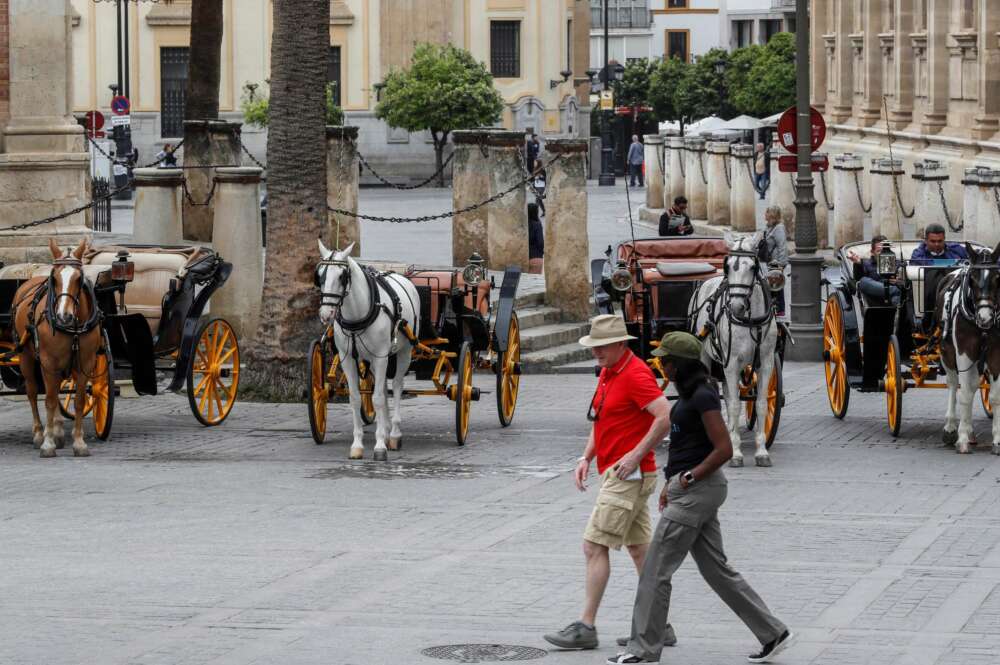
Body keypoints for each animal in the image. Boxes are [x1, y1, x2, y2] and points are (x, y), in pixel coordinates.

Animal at [12, 239, 104, 456]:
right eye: (53, 278)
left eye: (79, 278)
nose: (64, 316)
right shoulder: (48, 362)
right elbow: (50, 400)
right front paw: (47, 443)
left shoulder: (85, 363)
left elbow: (78, 401)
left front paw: (78, 442)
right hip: (27, 358)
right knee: (33, 392)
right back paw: (40, 433)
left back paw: (57, 429)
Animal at [688, 233, 780, 466]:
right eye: (728, 266)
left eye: (752, 266)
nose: (736, 306)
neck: (750, 320)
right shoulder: (731, 363)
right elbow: (735, 406)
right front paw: (736, 453)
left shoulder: (766, 363)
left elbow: (761, 404)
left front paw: (761, 451)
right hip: (707, 357)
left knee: (730, 397)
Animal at [936, 241, 1000, 454]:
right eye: (972, 278)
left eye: (998, 277)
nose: (985, 318)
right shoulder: (964, 351)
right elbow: (964, 393)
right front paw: (962, 438)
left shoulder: (996, 352)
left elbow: (995, 396)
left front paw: (997, 440)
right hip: (947, 353)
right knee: (954, 384)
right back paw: (951, 427)